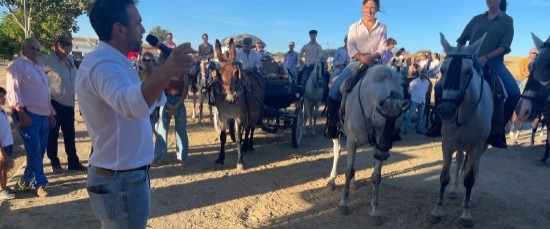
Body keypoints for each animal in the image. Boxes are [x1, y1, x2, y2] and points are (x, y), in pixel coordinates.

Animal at [211, 38, 266, 169]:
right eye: (219, 73)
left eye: (236, 72)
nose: (233, 94)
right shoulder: (222, 116)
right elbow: (223, 137)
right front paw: (220, 158)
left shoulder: (239, 116)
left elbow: (238, 137)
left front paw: (240, 161)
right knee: (247, 128)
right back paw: (246, 146)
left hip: (255, 113)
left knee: (250, 128)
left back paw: (249, 145)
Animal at [336, 64, 410, 225]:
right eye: (378, 124)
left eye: (398, 126)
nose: (382, 155)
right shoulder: (351, 141)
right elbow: (349, 170)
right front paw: (343, 203)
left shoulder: (379, 145)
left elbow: (376, 177)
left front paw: (375, 210)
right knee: (336, 153)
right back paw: (331, 181)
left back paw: (354, 184)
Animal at [430, 33, 494, 228]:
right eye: (442, 70)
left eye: (468, 72)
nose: (446, 110)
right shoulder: (447, 143)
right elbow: (444, 176)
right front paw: (437, 211)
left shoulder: (476, 146)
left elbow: (470, 179)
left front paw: (466, 215)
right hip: (458, 144)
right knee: (459, 160)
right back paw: (453, 190)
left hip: (480, 148)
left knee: (476, 169)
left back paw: (470, 199)